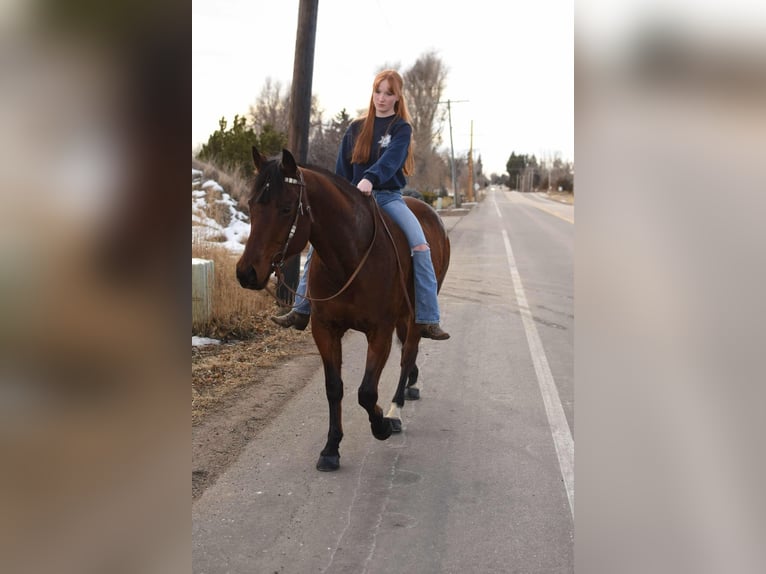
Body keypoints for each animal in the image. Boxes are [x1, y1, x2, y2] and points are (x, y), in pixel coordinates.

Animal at [236, 147, 450, 472]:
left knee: (408, 355)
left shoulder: (379, 332)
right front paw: (331, 448)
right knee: (406, 354)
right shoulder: (325, 329)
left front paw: (381, 426)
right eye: (251, 204)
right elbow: (334, 387)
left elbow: (366, 392)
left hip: (415, 317)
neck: (350, 256)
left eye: (286, 208)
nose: (246, 273)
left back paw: (396, 410)